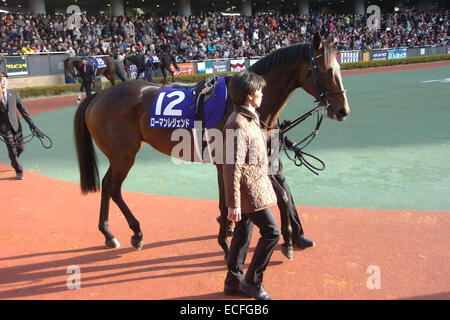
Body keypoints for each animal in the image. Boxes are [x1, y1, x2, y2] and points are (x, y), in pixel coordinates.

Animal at [74, 31, 350, 255]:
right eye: (327, 71)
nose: (343, 110)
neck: (242, 103)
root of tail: (98, 95)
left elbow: (278, 195)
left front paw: (286, 239)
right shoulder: (228, 162)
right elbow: (231, 201)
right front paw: (228, 243)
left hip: (120, 155)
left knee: (108, 186)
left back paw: (110, 233)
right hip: (124, 155)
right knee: (113, 187)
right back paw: (131, 232)